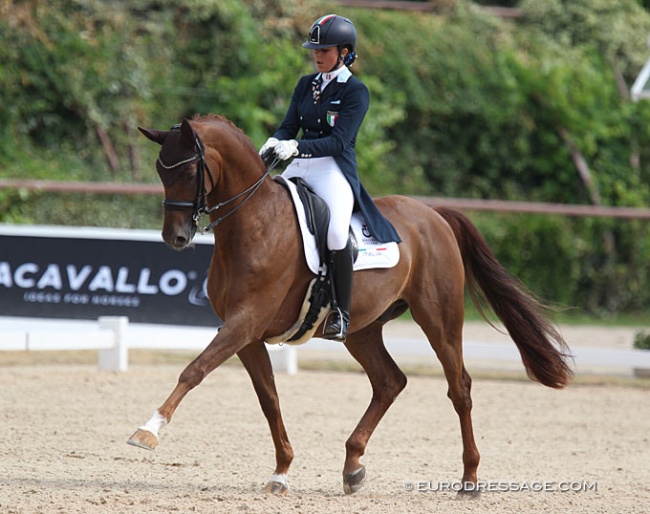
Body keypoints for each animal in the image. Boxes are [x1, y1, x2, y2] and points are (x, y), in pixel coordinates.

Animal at [128, 114, 572, 494]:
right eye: (160, 172)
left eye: (188, 172)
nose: (175, 237)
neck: (254, 222)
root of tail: (434, 215)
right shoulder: (247, 334)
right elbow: (269, 399)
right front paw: (281, 472)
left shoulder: (245, 322)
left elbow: (194, 370)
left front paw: (148, 431)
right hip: (363, 329)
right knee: (390, 382)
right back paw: (353, 466)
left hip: (439, 319)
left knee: (458, 387)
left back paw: (469, 479)